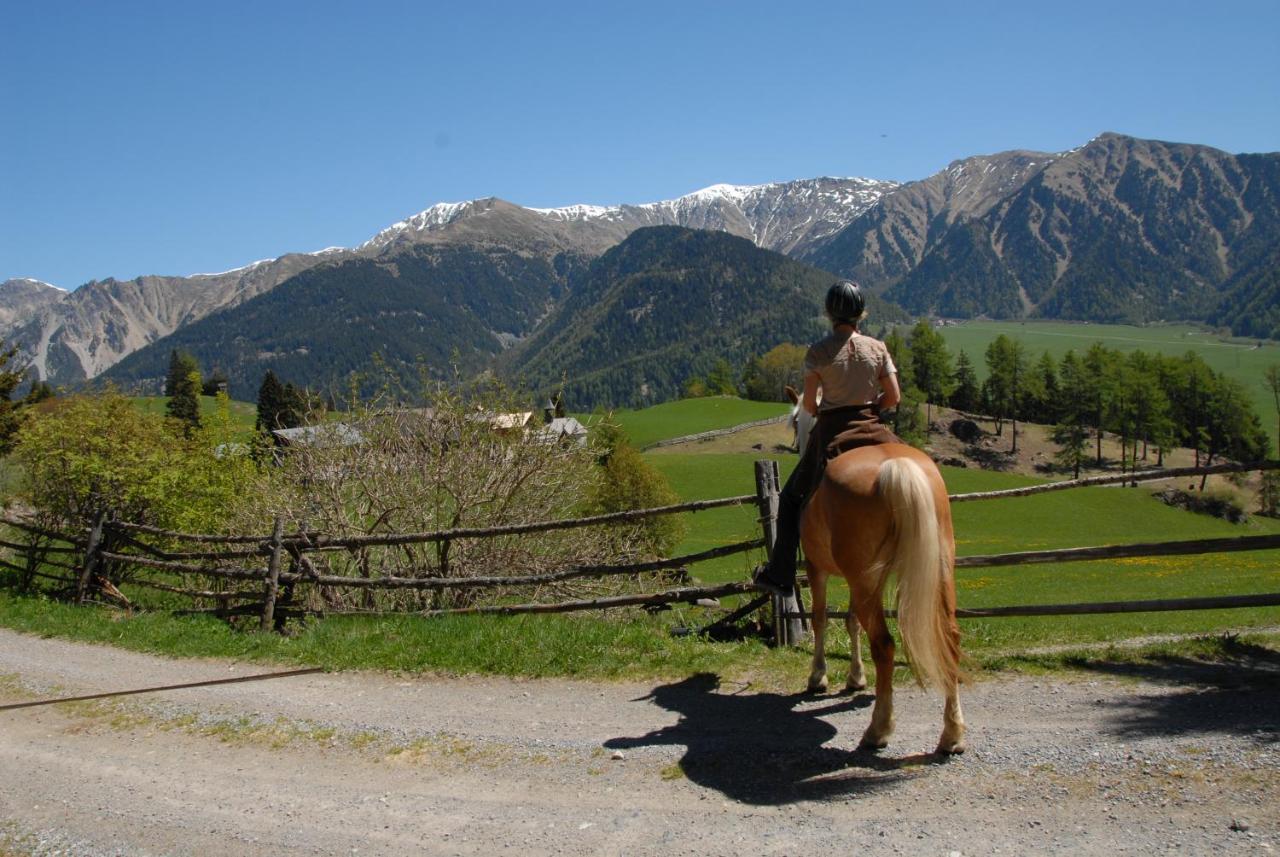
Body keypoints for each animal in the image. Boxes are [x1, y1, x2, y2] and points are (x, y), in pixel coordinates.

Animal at [783, 386, 962, 757]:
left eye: (796, 419)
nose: (796, 441)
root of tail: (896, 466)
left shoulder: (818, 568)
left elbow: (821, 618)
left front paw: (818, 677)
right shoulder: (860, 580)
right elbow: (851, 621)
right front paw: (855, 677)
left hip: (864, 579)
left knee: (884, 645)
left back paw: (878, 730)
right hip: (935, 571)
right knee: (950, 636)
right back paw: (952, 734)